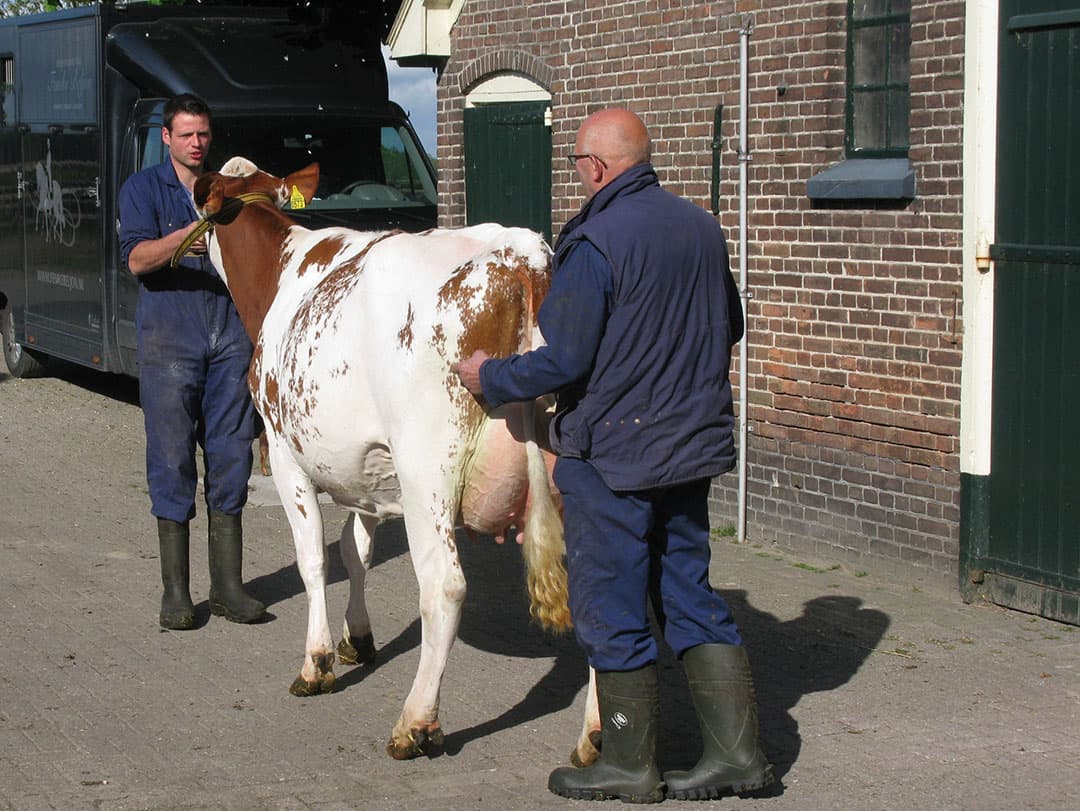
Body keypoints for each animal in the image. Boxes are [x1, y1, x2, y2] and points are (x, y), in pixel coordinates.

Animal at [180, 157, 602, 765]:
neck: (284, 272)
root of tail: (521, 256)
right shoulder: (366, 471)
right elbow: (355, 552)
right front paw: (358, 638)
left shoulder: (285, 454)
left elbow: (314, 559)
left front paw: (317, 663)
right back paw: (593, 737)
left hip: (428, 467)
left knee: (444, 587)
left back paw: (416, 723)